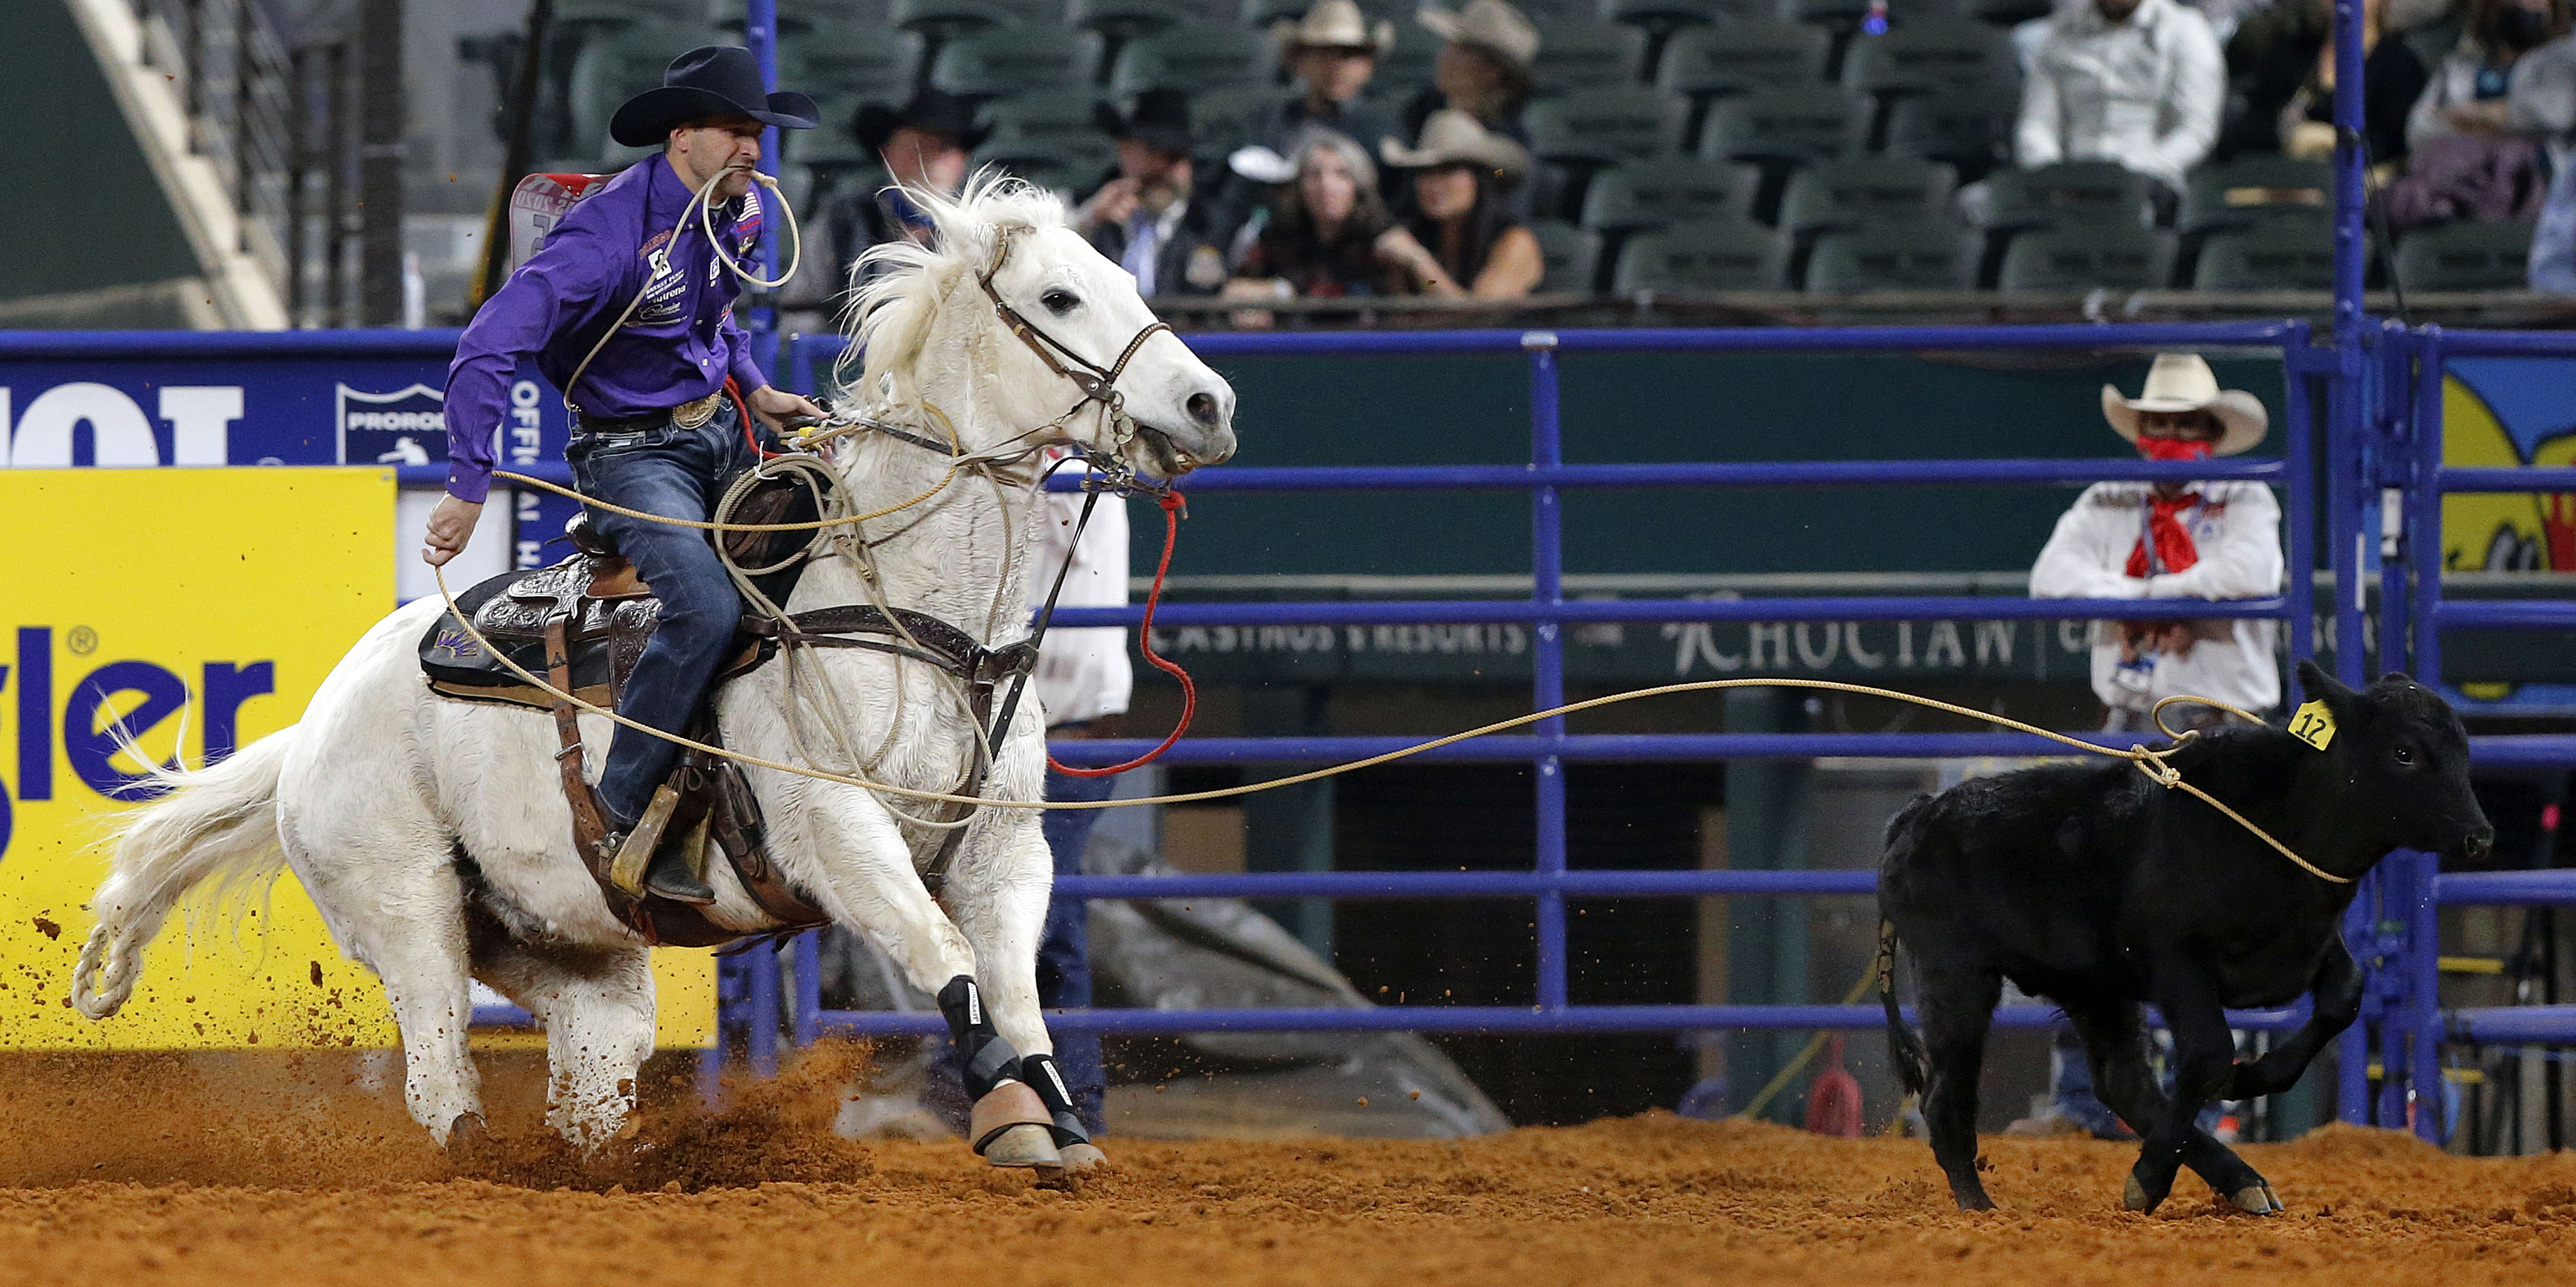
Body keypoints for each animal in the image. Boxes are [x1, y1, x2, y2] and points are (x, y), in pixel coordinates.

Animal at [78, 176, 1236, 1173]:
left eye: (1126, 279)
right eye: (1058, 296)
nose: (1209, 404)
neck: (917, 612)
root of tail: (315, 724)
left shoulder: (1004, 853)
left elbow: (1017, 989)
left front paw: (1057, 1121)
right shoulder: (839, 833)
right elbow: (942, 953)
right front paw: (1007, 1115)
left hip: (566, 941)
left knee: (596, 1056)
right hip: (406, 910)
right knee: (440, 1072)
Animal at [1885, 664, 2483, 1215]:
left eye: (2462, 747)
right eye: (2404, 752)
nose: (2479, 836)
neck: (2271, 822)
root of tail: (1920, 812)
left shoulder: (2306, 942)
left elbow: (2344, 995)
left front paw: (2250, 1078)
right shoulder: (2174, 959)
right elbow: (2209, 1051)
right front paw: (2149, 1176)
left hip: (2092, 986)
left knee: (2123, 1083)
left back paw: (2241, 1179)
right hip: (1956, 976)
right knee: (1944, 1097)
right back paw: (1977, 1204)